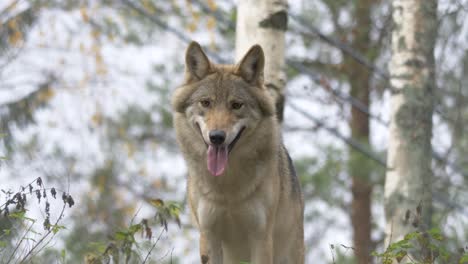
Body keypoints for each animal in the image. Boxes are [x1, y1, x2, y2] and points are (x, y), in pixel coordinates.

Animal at [172, 41, 304, 264]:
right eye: (206, 103)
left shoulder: (261, 238)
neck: (228, 190)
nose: (217, 137)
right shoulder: (209, 237)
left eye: (236, 105)